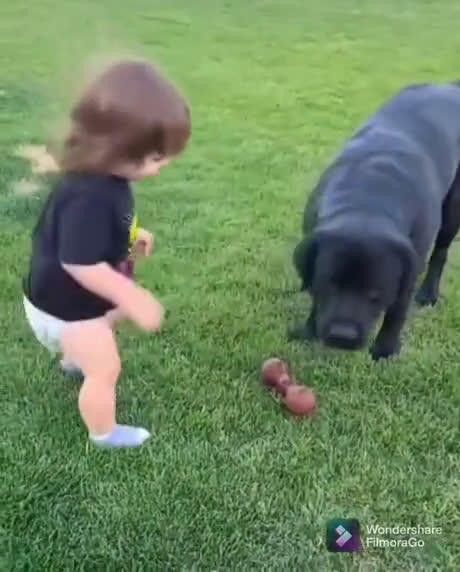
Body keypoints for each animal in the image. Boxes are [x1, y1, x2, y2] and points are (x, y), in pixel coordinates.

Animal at [291, 82, 460, 360]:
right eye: (330, 284)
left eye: (375, 294)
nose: (342, 336)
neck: (368, 200)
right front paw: (308, 330)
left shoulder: (409, 269)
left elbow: (397, 311)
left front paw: (385, 350)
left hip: (452, 211)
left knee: (440, 252)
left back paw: (428, 294)